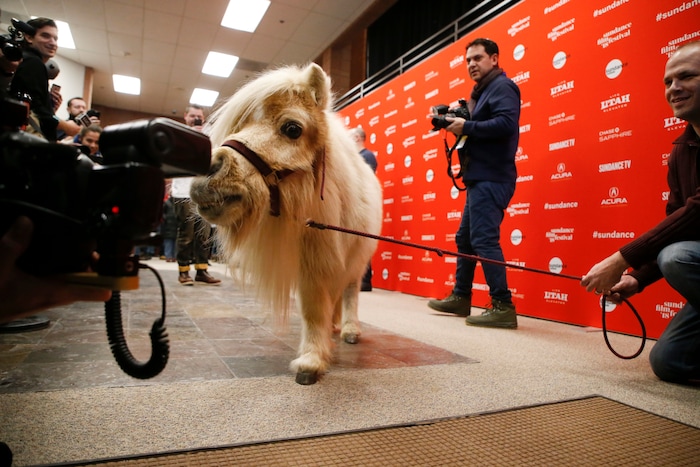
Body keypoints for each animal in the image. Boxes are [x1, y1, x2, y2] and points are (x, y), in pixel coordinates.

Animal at [190, 63, 383, 385]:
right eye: (238, 126)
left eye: (293, 129)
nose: (206, 173)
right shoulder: (313, 260)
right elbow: (314, 307)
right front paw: (316, 351)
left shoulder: (321, 259)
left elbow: (318, 306)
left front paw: (311, 362)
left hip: (357, 262)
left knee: (350, 291)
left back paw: (349, 329)